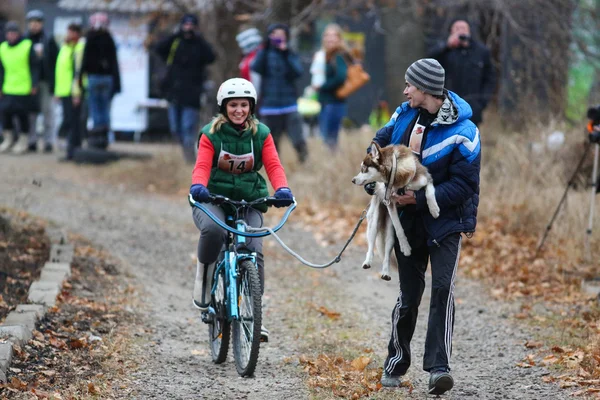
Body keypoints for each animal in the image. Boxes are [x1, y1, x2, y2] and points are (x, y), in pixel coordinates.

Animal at [352, 142, 440, 280]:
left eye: (364, 168)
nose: (353, 180)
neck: (397, 174)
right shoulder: (391, 203)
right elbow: (399, 229)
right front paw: (406, 247)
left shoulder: (427, 179)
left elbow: (429, 192)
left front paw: (434, 210)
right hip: (373, 224)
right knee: (371, 246)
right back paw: (367, 261)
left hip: (390, 235)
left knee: (387, 254)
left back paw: (386, 272)